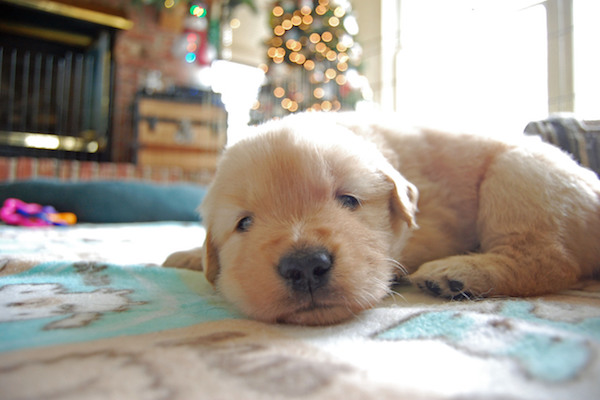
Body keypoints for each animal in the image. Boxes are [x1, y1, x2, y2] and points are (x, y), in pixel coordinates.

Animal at [164, 111, 600, 324]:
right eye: (244, 224)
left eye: (349, 200)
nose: (304, 266)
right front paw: (189, 256)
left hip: (519, 172)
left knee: (550, 259)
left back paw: (457, 273)